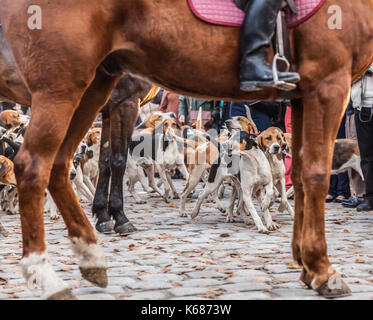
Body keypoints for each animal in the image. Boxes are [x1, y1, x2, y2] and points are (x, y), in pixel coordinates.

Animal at [0, 1, 370, 298]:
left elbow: (109, 162)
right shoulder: (328, 83)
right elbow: (315, 176)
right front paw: (321, 269)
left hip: (87, 88)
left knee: (60, 164)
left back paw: (90, 254)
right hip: (62, 86)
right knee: (34, 165)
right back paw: (44, 273)